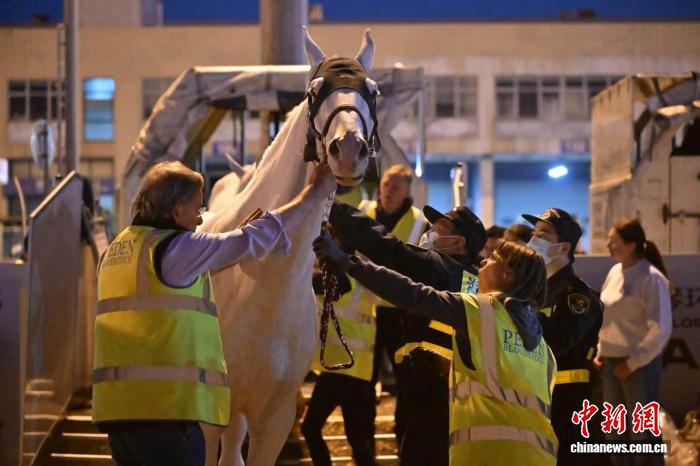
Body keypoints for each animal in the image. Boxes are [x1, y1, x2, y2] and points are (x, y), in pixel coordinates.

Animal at [199, 28, 379, 466]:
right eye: (315, 90)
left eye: (373, 90)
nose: (349, 149)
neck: (262, 278)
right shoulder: (211, 413)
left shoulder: (275, 417)